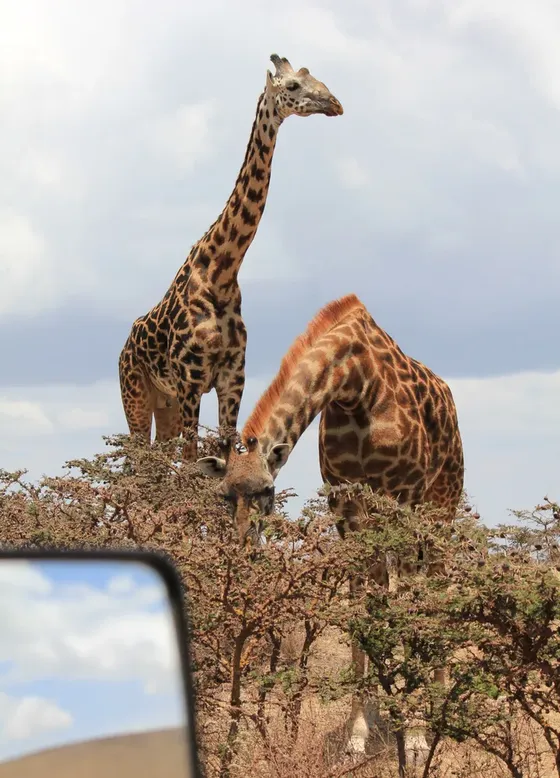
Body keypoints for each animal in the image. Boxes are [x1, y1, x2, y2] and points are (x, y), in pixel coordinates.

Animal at [118, 54, 343, 459]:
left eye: (316, 77)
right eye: (292, 86)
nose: (334, 103)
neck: (221, 272)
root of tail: (124, 347)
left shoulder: (232, 379)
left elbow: (223, 455)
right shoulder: (191, 382)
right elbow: (192, 462)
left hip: (165, 402)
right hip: (136, 395)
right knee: (135, 462)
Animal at [196, 293, 465, 765]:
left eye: (268, 490)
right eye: (225, 495)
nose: (244, 549)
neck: (354, 387)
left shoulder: (404, 499)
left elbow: (408, 605)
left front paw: (415, 738)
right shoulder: (345, 505)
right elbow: (359, 610)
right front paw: (357, 736)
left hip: (439, 510)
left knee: (433, 591)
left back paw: (434, 706)